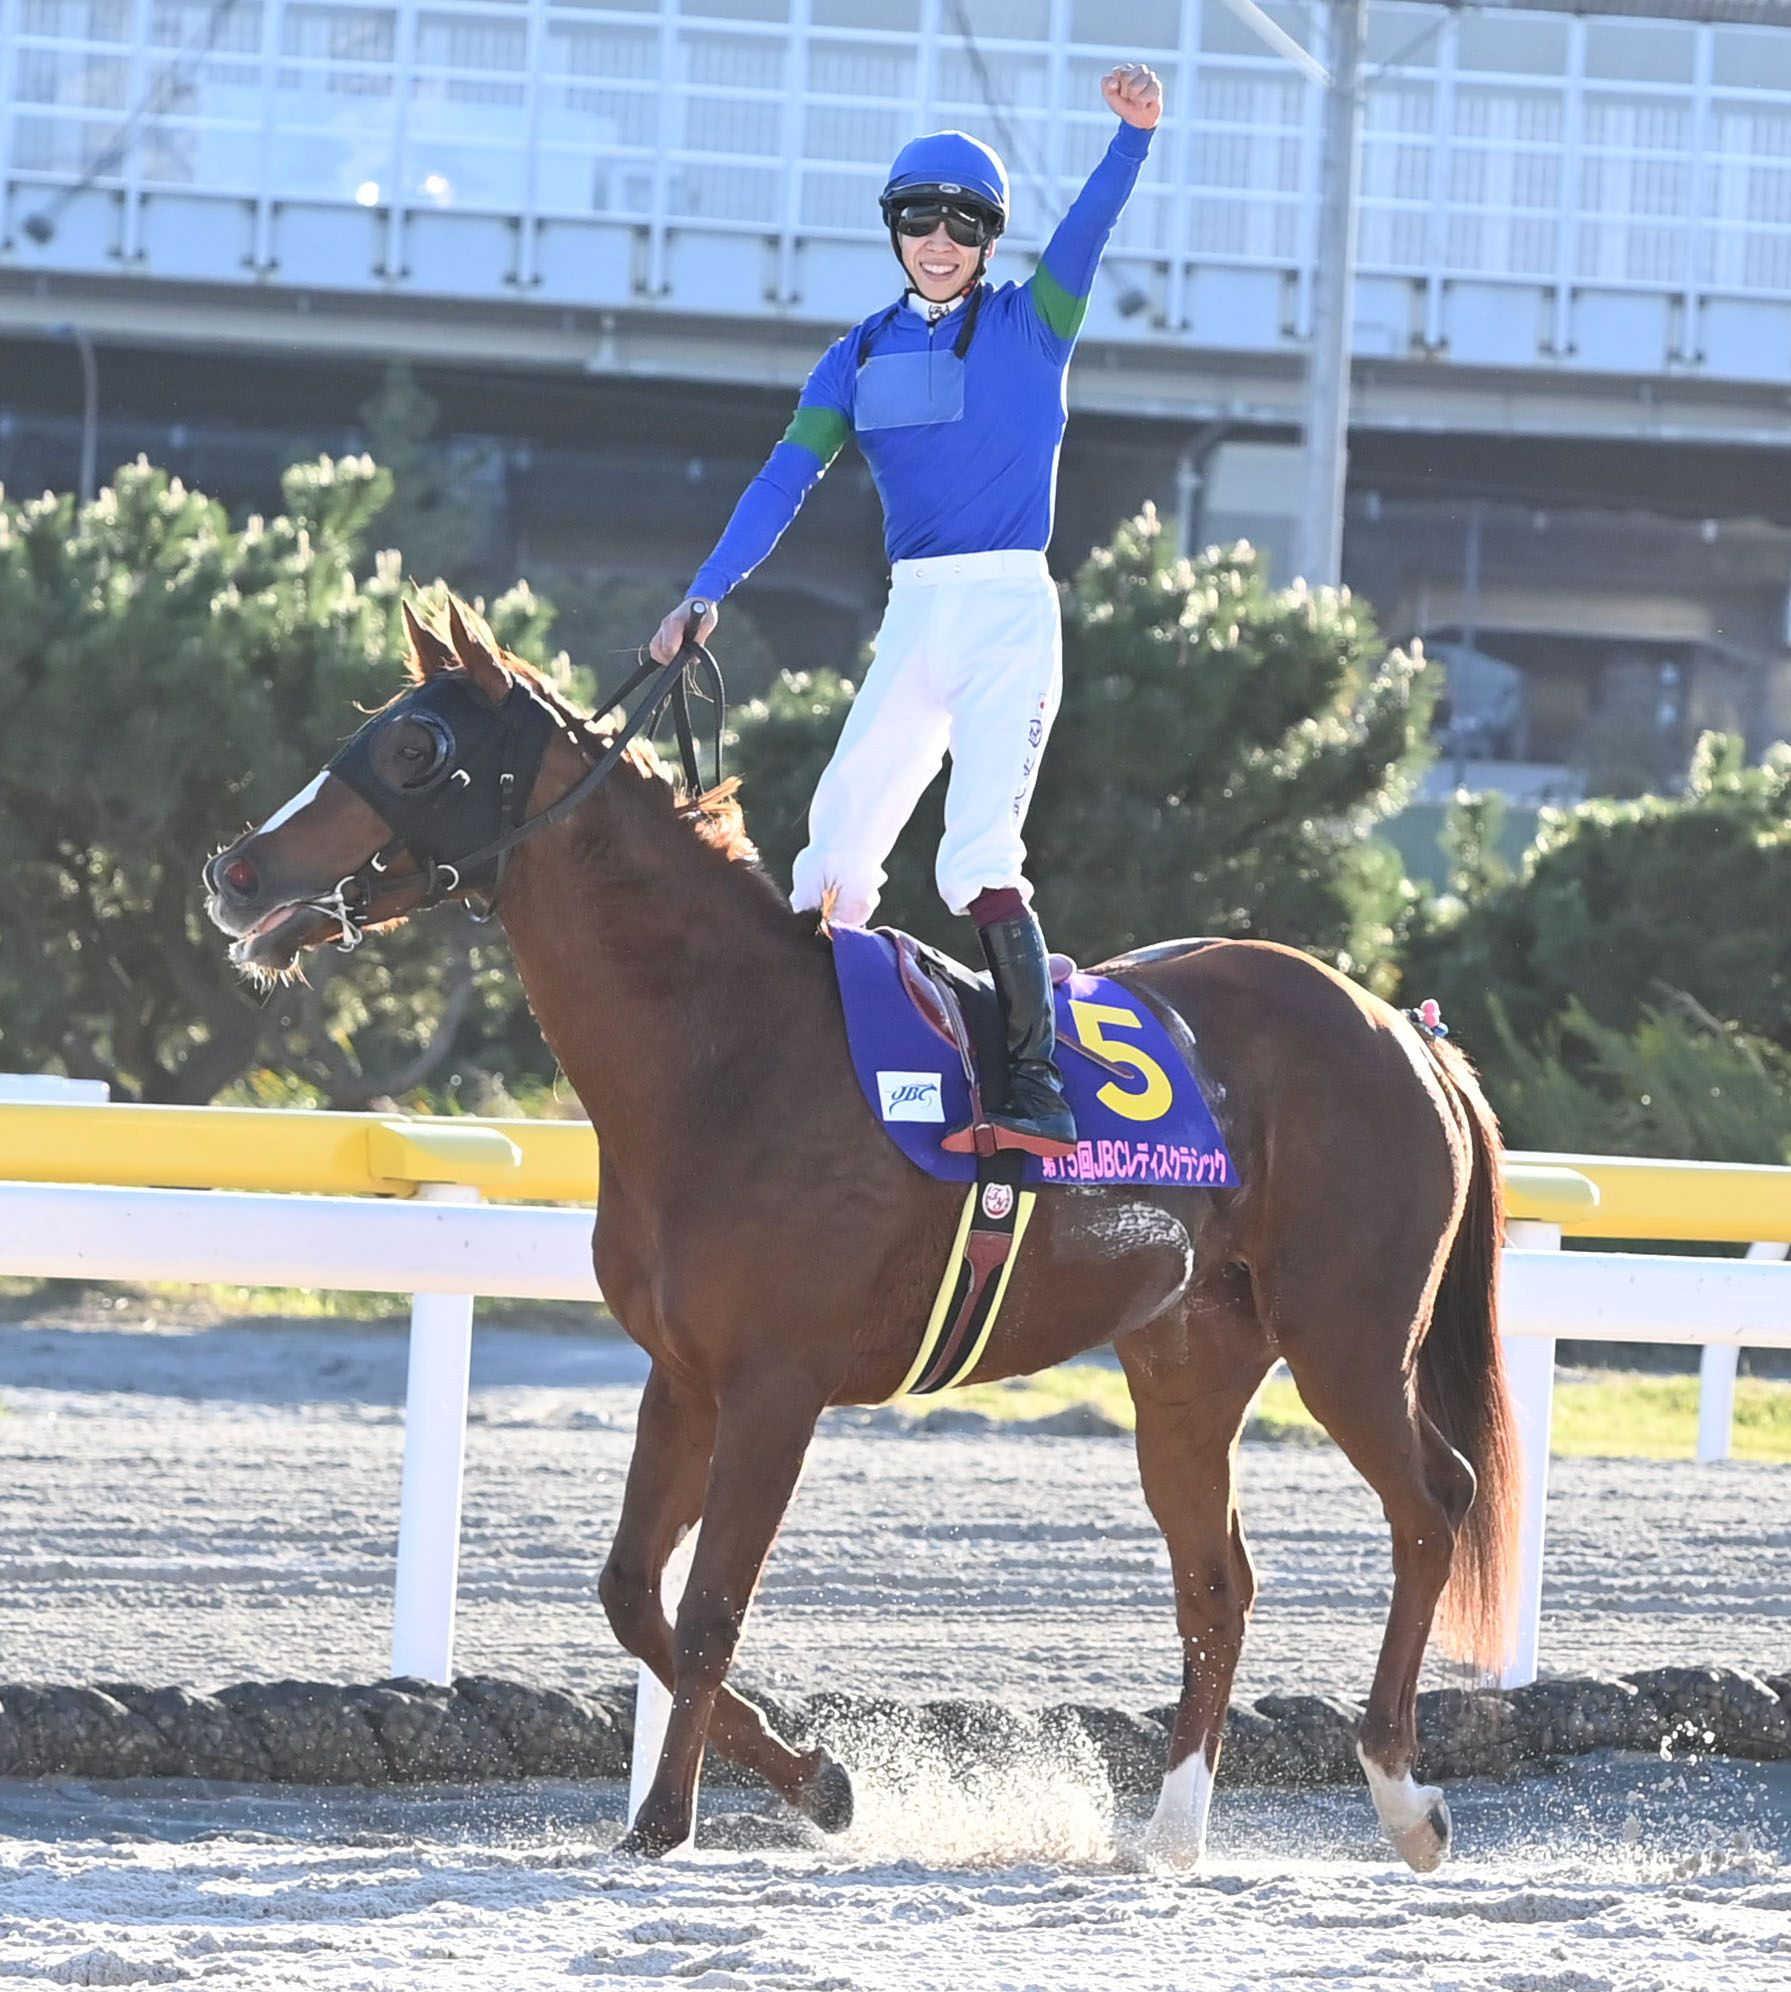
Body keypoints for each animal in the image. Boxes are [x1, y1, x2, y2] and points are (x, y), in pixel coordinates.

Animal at [203, 598, 1519, 1872]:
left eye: (416, 750)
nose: (234, 869)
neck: (728, 1051)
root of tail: (1404, 1031)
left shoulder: (777, 1386)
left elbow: (708, 1610)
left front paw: (664, 1820)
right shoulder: (684, 1376)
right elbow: (633, 1592)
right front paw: (821, 1784)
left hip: (1347, 1337)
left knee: (1433, 1501)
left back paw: (1402, 1794)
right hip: (1188, 1363)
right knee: (1218, 1582)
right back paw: (1172, 1837)